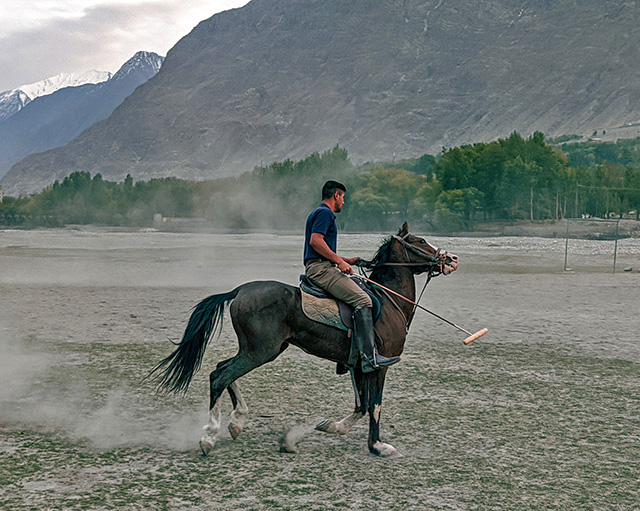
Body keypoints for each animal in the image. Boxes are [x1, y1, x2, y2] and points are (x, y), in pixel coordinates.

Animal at [151, 223, 458, 456]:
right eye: (421, 241)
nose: (452, 259)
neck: (388, 299)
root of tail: (239, 290)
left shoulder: (359, 365)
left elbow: (361, 405)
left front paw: (330, 426)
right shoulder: (379, 366)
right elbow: (375, 405)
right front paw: (378, 446)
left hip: (257, 349)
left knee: (221, 369)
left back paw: (236, 422)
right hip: (260, 351)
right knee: (220, 376)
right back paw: (209, 436)